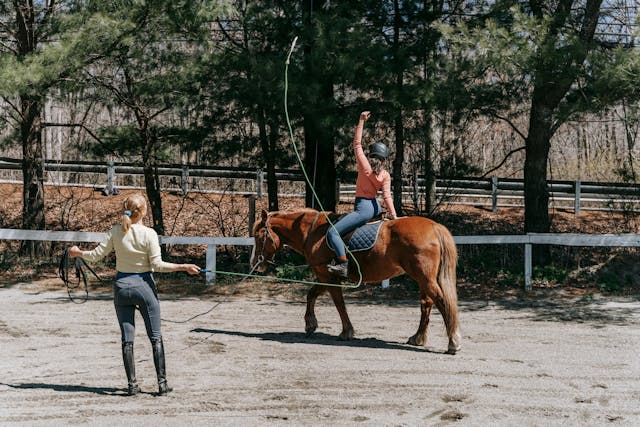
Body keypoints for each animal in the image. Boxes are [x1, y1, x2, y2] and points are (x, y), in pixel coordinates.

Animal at [250, 208, 461, 354]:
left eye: (259, 236)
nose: (254, 263)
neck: (314, 232)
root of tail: (434, 226)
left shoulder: (329, 277)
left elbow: (338, 304)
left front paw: (346, 331)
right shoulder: (325, 277)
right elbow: (312, 294)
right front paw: (310, 324)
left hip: (424, 277)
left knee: (441, 301)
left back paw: (453, 342)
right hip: (424, 279)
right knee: (426, 304)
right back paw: (418, 337)